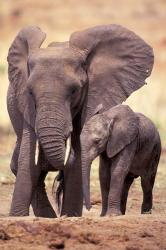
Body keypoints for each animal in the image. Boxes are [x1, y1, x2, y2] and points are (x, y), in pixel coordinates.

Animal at [7, 24, 154, 217]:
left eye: (74, 90)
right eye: (30, 92)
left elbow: (76, 158)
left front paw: (70, 215)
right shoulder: (26, 106)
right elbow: (27, 158)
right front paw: (17, 216)